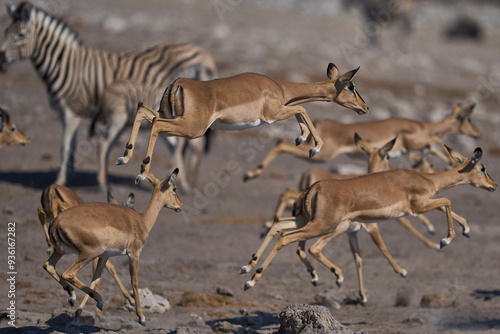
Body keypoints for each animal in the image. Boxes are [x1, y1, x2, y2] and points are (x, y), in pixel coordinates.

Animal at [0, 1, 217, 190]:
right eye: (5, 31)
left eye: (21, 34)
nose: (1, 58)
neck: (66, 65)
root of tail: (205, 55)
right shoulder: (67, 114)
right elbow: (71, 147)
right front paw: (70, 177)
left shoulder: (71, 111)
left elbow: (65, 147)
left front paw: (60, 181)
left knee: (195, 145)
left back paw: (187, 183)